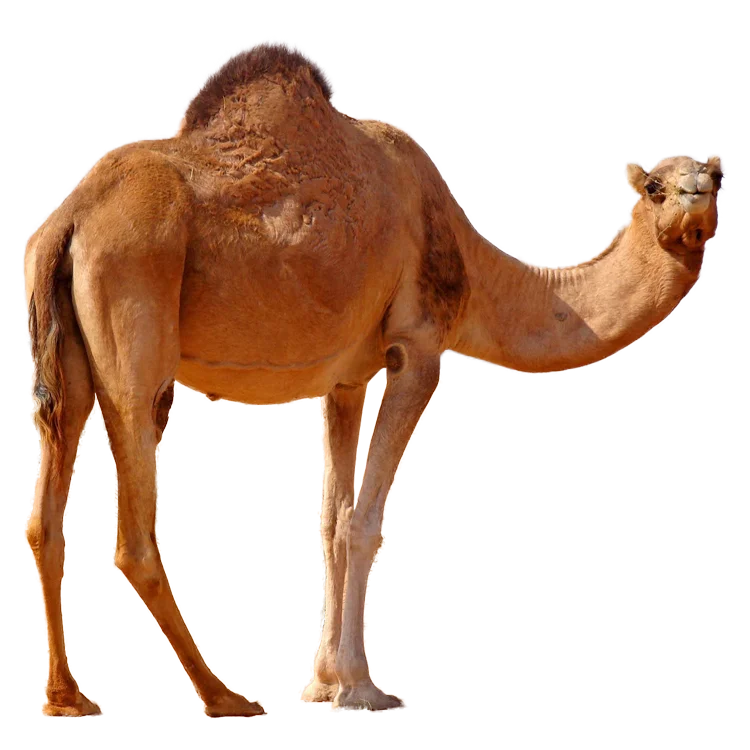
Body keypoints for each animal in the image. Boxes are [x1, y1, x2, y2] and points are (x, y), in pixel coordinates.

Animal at [24, 42, 723, 718]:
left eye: (717, 177)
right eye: (655, 187)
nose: (696, 198)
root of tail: (68, 220)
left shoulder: (345, 381)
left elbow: (332, 519)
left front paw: (323, 682)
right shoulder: (416, 349)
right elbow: (364, 521)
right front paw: (361, 687)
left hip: (65, 357)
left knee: (44, 517)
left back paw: (69, 698)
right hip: (134, 315)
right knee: (133, 531)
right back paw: (223, 697)